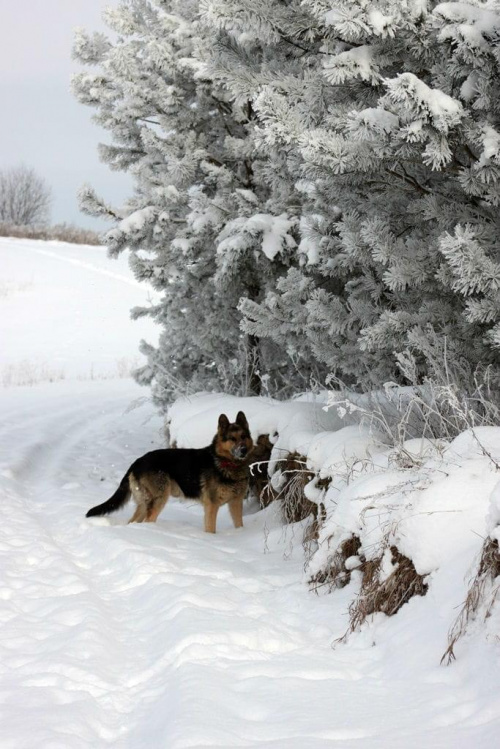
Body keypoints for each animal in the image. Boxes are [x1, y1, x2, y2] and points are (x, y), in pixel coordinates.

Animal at [85, 410, 254, 532]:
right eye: (232, 439)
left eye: (243, 436)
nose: (244, 450)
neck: (227, 463)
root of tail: (136, 462)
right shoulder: (212, 506)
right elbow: (211, 529)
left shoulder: (236, 503)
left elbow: (239, 524)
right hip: (159, 499)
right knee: (148, 520)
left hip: (145, 503)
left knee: (133, 521)